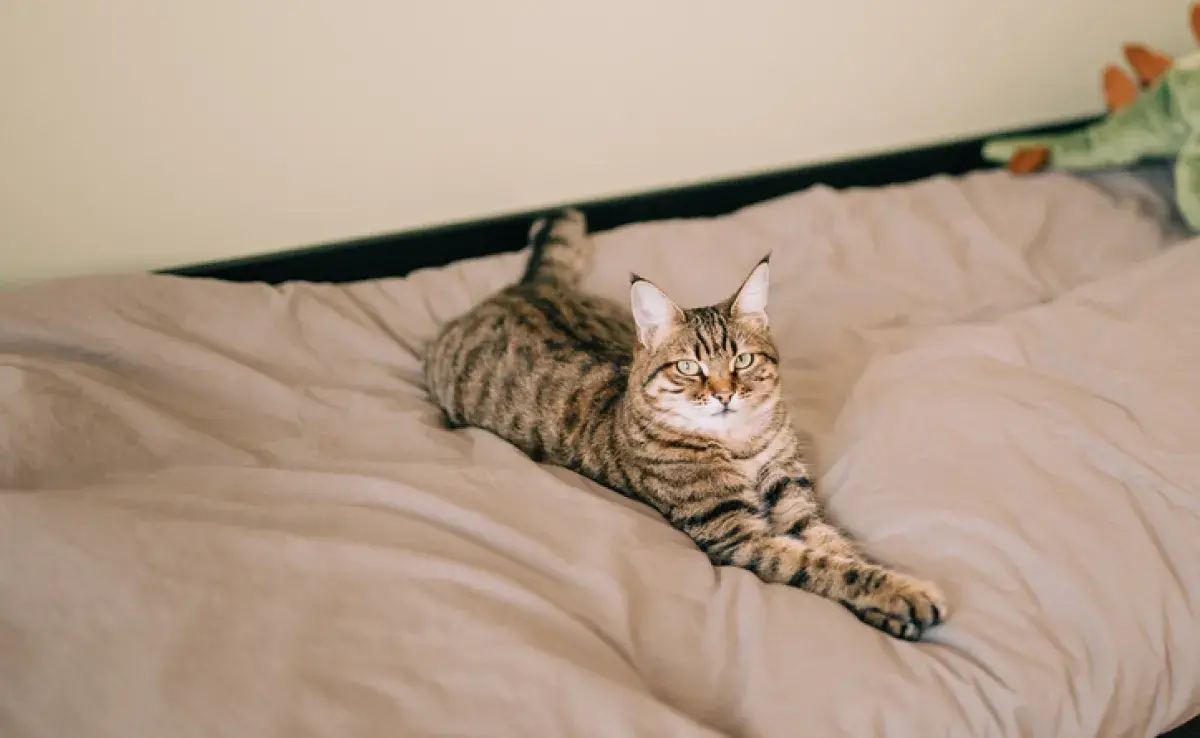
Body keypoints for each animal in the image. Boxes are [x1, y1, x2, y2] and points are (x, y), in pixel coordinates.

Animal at [422, 208, 945, 643]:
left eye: (742, 359)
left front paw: (888, 603)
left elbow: (839, 549)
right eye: (689, 368)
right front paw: (904, 595)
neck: (741, 444)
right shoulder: (732, 531)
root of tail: (521, 289)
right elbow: (820, 564)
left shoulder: (793, 495)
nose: (724, 393)